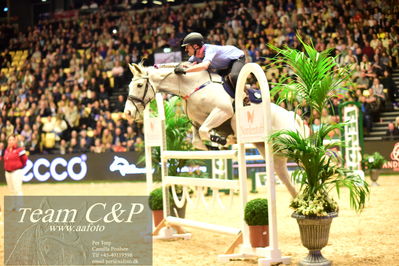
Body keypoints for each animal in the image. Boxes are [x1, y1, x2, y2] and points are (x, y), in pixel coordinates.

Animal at [124, 62, 306, 197]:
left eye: (139, 85)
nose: (128, 113)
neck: (191, 86)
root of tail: (294, 118)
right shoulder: (197, 122)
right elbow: (197, 140)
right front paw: (214, 147)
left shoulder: (222, 111)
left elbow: (205, 132)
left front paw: (222, 140)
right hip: (275, 154)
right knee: (290, 182)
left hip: (292, 148)